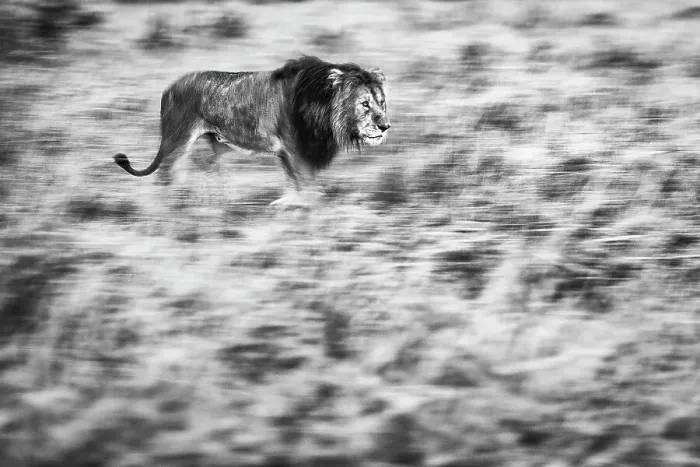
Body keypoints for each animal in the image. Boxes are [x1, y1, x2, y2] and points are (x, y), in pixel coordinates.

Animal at [113, 56, 390, 206]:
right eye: (365, 104)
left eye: (382, 102)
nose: (385, 126)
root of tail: (168, 88)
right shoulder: (295, 150)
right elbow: (308, 189)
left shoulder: (288, 154)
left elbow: (297, 185)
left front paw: (284, 204)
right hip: (176, 141)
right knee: (166, 177)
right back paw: (166, 209)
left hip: (216, 147)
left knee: (209, 172)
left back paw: (218, 202)